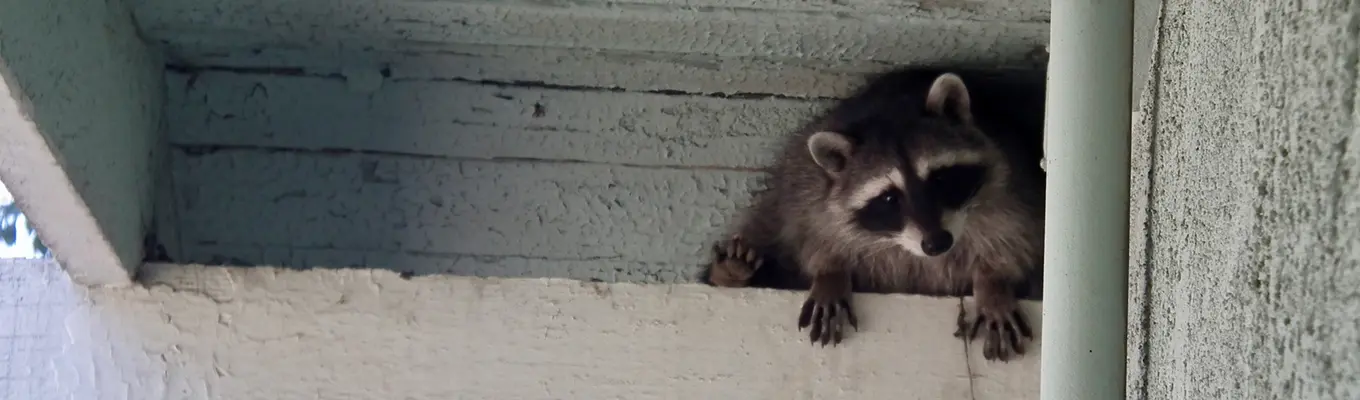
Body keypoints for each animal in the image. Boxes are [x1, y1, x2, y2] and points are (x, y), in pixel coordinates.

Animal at [699, 66, 1047, 362]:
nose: (937, 243)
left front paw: (993, 281)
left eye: (939, 179)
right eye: (890, 197)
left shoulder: (1014, 181)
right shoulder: (811, 188)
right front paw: (830, 270)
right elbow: (813, 227)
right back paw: (731, 271)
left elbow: (1016, 234)